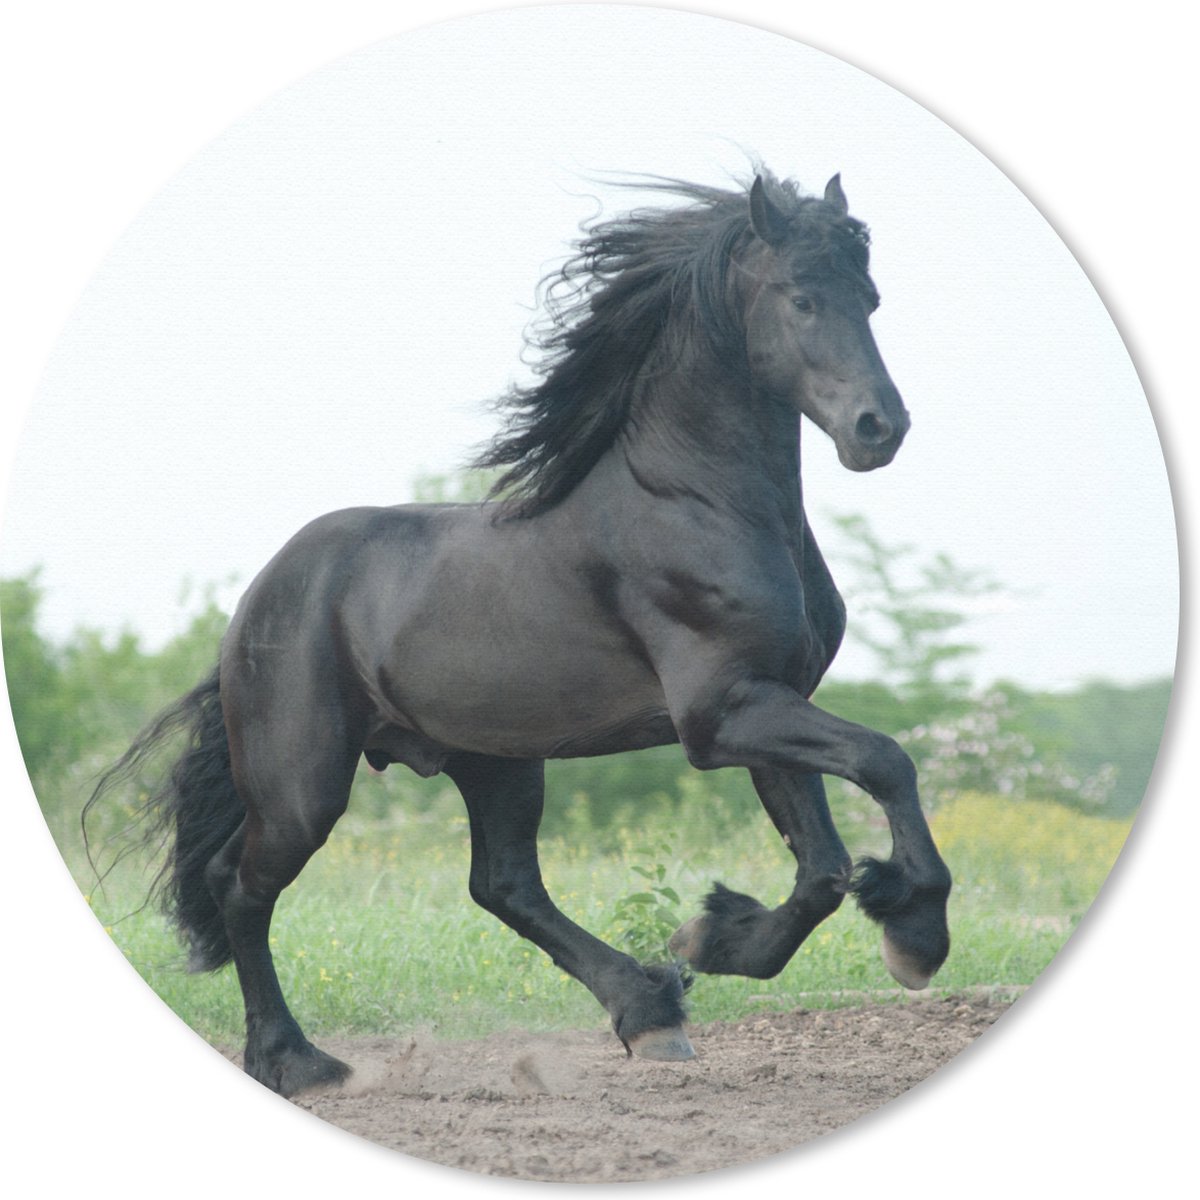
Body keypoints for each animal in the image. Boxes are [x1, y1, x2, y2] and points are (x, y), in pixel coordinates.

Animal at [86, 169, 951, 1098]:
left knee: (502, 886)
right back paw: (297, 1061)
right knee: (242, 886)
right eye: (800, 297)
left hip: (495, 761)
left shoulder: (765, 702)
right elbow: (885, 762)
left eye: (870, 298)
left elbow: (823, 866)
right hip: (304, 783)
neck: (696, 504)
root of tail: (257, 599)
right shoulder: (721, 716)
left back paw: (649, 1009)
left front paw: (712, 938)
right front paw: (916, 938)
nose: (880, 429)